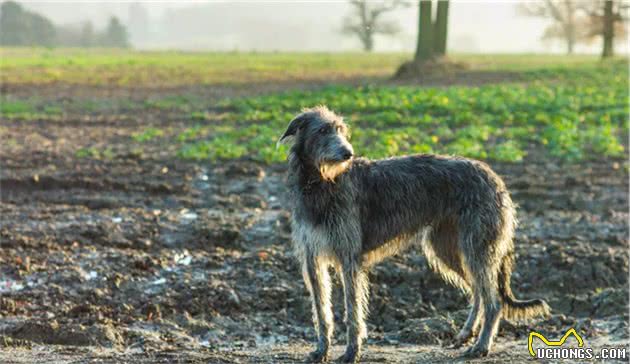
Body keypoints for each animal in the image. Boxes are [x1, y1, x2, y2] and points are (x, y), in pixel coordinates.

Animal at [278, 106, 552, 362]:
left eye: (341, 130)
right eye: (323, 130)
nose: (348, 153)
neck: (321, 183)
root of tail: (495, 177)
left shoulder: (349, 258)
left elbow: (353, 311)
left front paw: (352, 351)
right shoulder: (312, 258)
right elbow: (321, 310)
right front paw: (321, 350)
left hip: (477, 246)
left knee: (493, 301)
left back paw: (481, 346)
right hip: (447, 248)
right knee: (478, 292)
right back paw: (466, 334)